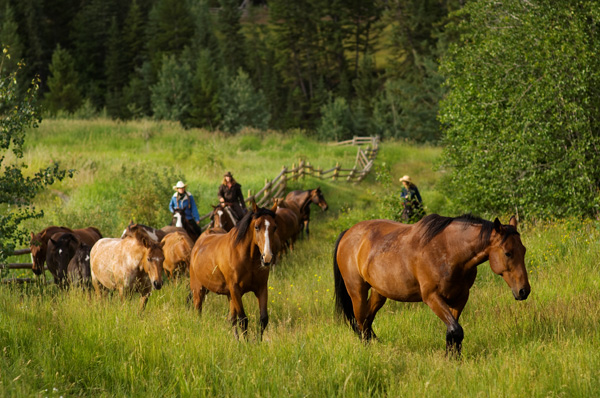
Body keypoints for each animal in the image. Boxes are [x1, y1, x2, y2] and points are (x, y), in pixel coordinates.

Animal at [190, 202, 278, 338]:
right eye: (257, 227)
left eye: (274, 227)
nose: (267, 257)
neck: (247, 258)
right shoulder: (235, 290)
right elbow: (243, 319)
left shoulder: (261, 288)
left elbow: (263, 319)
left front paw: (258, 341)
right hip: (198, 290)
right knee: (198, 311)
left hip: (228, 295)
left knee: (231, 319)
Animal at [336, 215, 532, 354]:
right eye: (507, 253)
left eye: (523, 250)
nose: (524, 291)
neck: (449, 251)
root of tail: (348, 233)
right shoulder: (432, 297)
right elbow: (456, 330)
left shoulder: (460, 297)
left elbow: (453, 332)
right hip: (357, 292)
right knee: (361, 322)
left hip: (379, 293)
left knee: (367, 322)